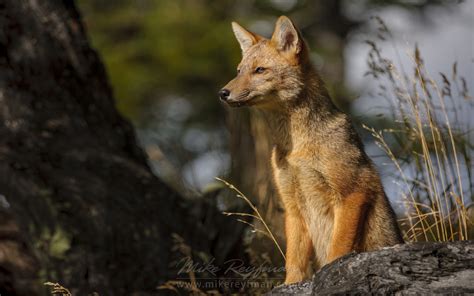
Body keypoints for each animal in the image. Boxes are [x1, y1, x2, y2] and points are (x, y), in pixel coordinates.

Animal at [219, 16, 404, 284]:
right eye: (239, 71)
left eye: (260, 70)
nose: (222, 93)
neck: (296, 148)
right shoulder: (292, 207)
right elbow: (294, 263)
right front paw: (291, 285)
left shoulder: (354, 191)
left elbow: (338, 250)